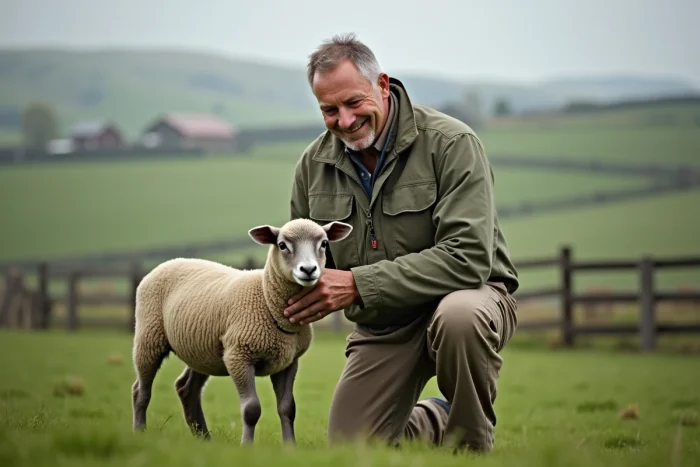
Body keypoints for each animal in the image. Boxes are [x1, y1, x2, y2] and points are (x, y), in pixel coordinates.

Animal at [130, 218, 353, 445]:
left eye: (324, 243)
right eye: (282, 245)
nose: (308, 269)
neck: (266, 299)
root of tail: (170, 262)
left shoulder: (288, 362)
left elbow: (288, 408)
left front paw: (290, 446)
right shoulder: (239, 356)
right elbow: (251, 409)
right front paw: (246, 446)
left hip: (201, 350)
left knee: (187, 389)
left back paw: (204, 439)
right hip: (149, 337)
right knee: (141, 390)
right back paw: (140, 431)